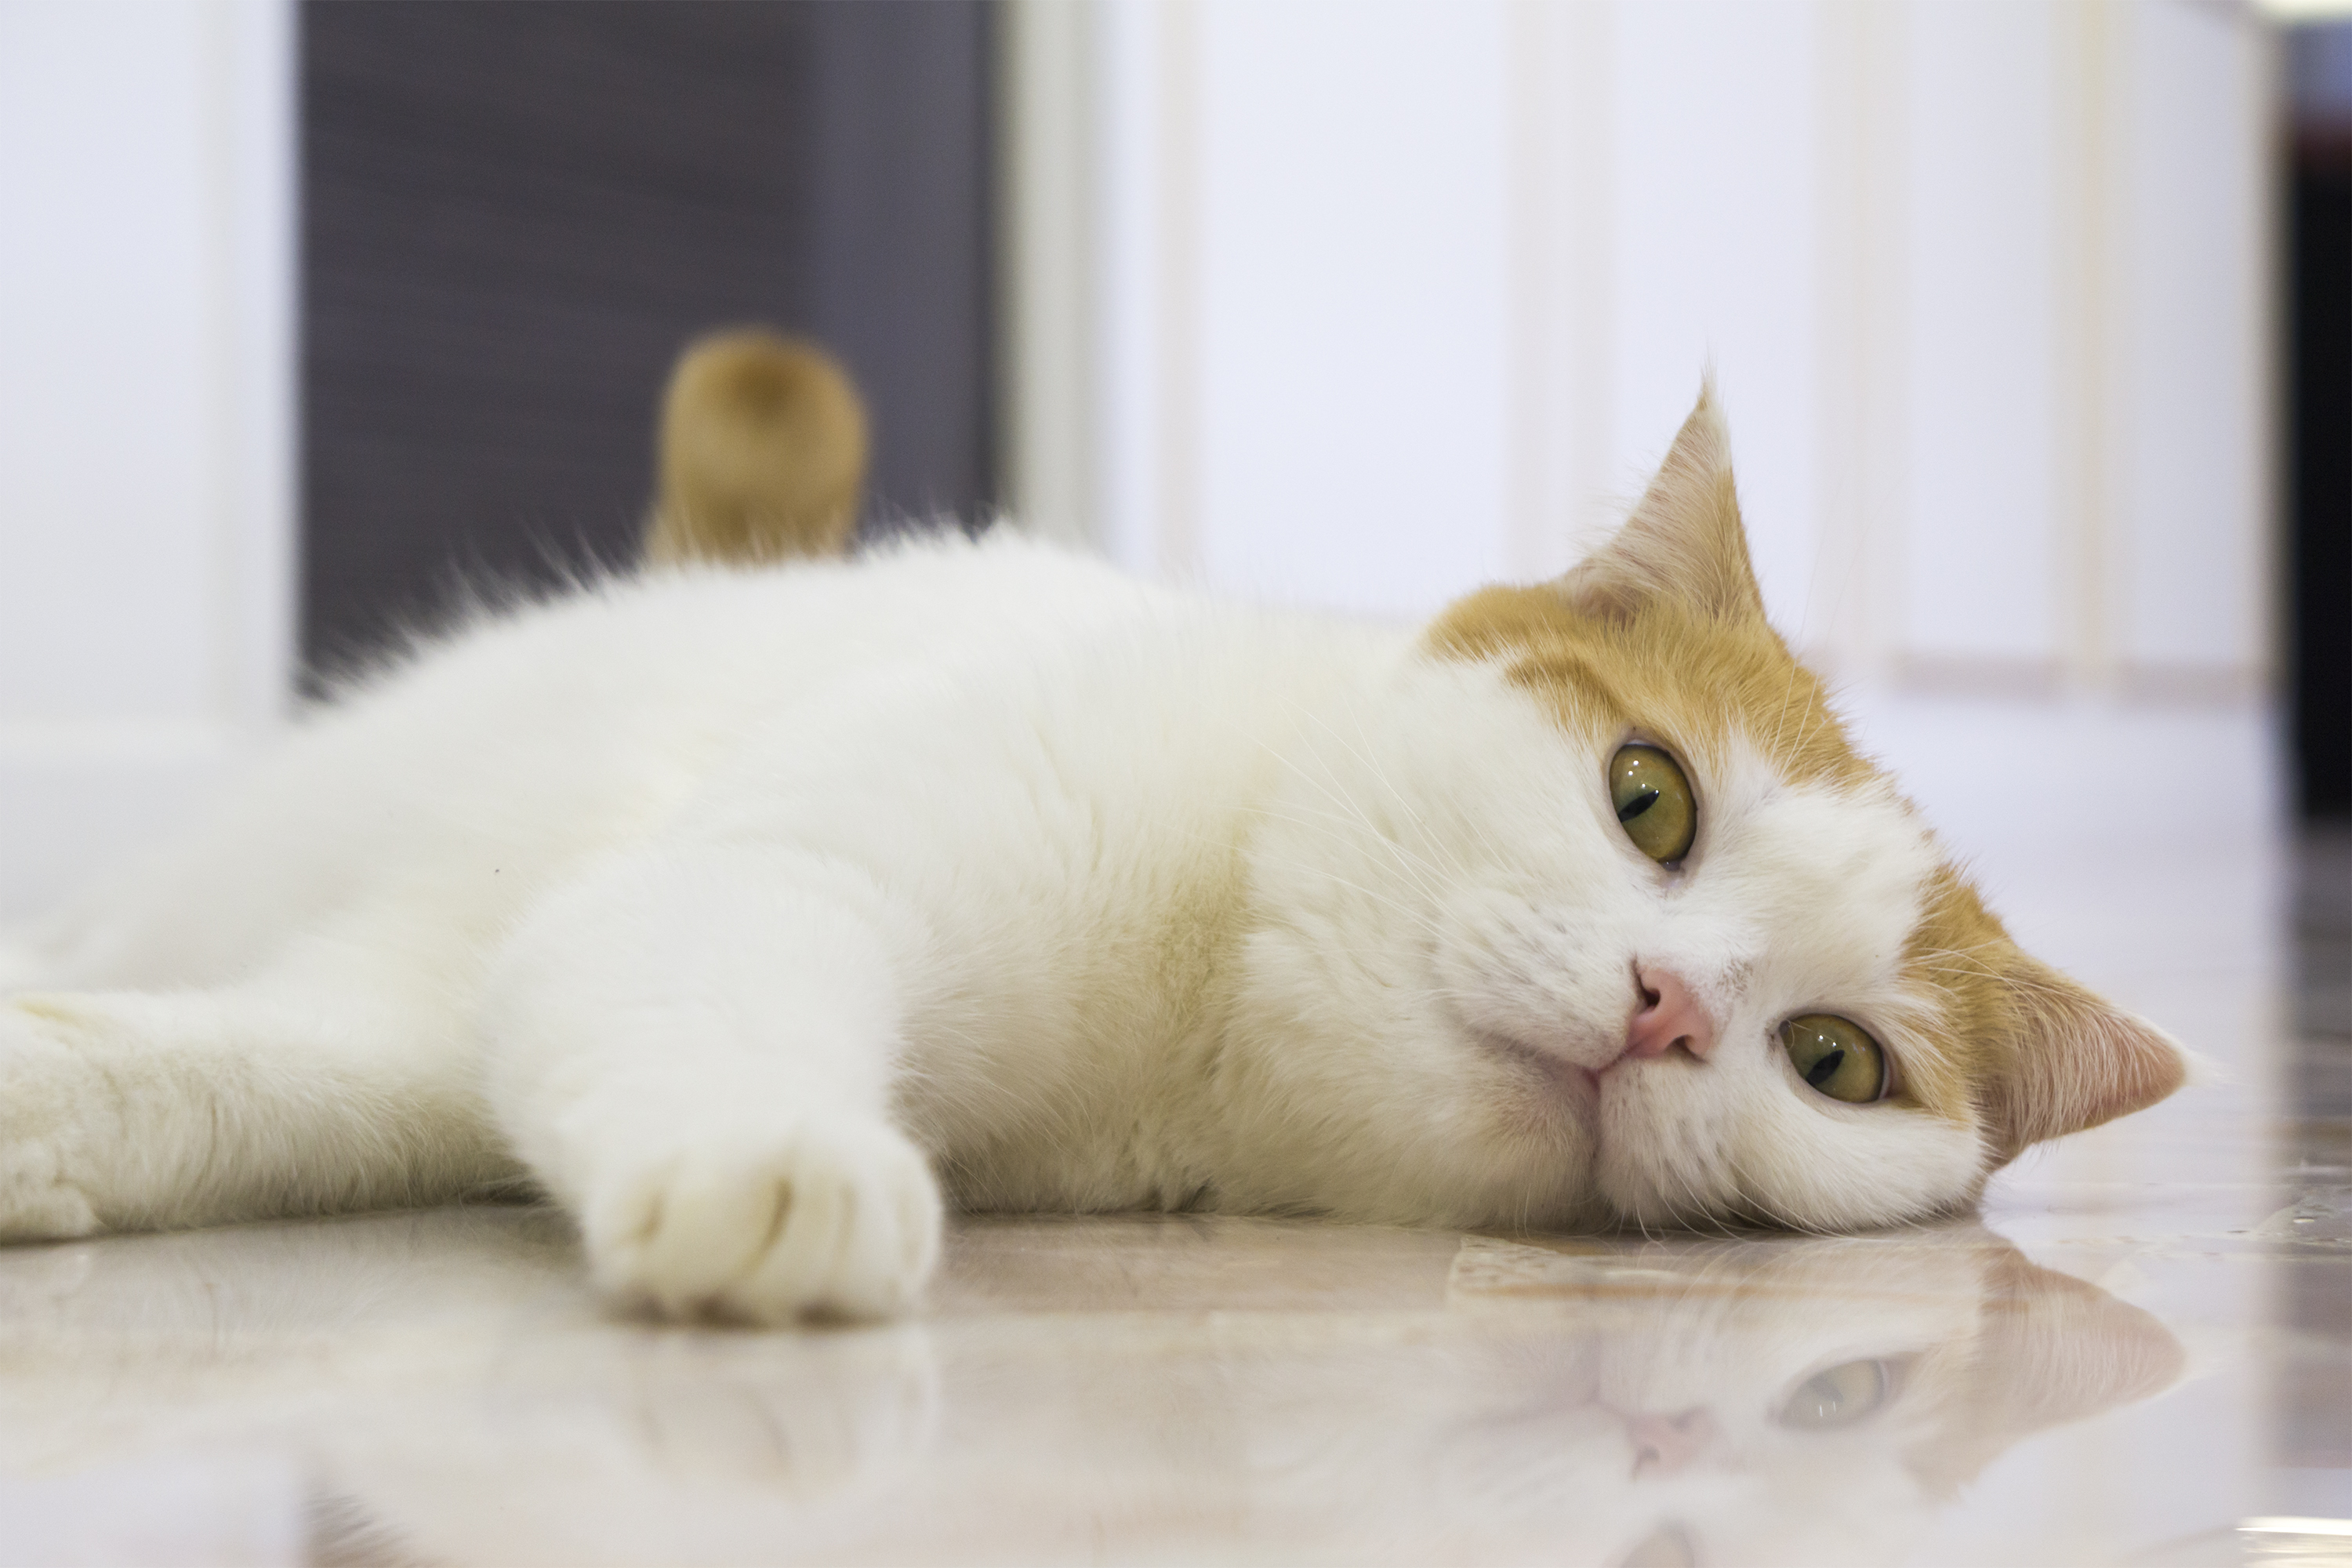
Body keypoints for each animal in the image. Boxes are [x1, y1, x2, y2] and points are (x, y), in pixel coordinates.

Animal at [0, 371, 2183, 1326]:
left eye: (1832, 1062)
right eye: (1649, 796)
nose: (1662, 1009)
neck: (1198, 1001)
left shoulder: (461, 1010)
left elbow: (265, 1079)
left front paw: (46, 1114)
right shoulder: (755, 880)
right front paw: (775, 1163)